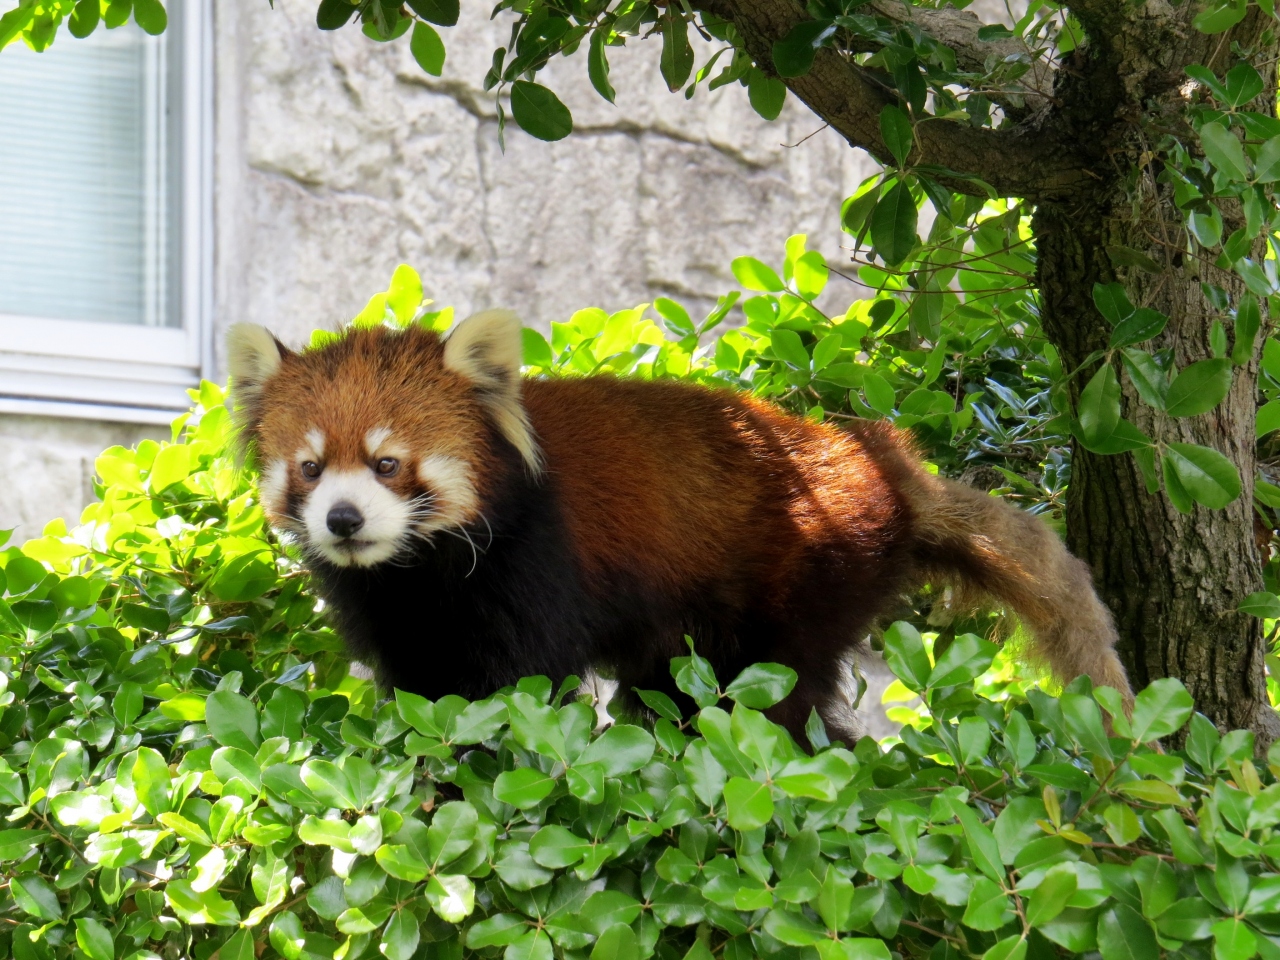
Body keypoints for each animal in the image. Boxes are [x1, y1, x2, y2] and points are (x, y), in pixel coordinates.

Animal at [230, 312, 1131, 742]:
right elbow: (422, 682)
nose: (344, 519)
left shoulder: (535, 563)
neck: (423, 569)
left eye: (388, 463)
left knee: (777, 692)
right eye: (310, 467)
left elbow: (522, 681)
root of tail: (875, 455)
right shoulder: (393, 606)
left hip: (809, 568)